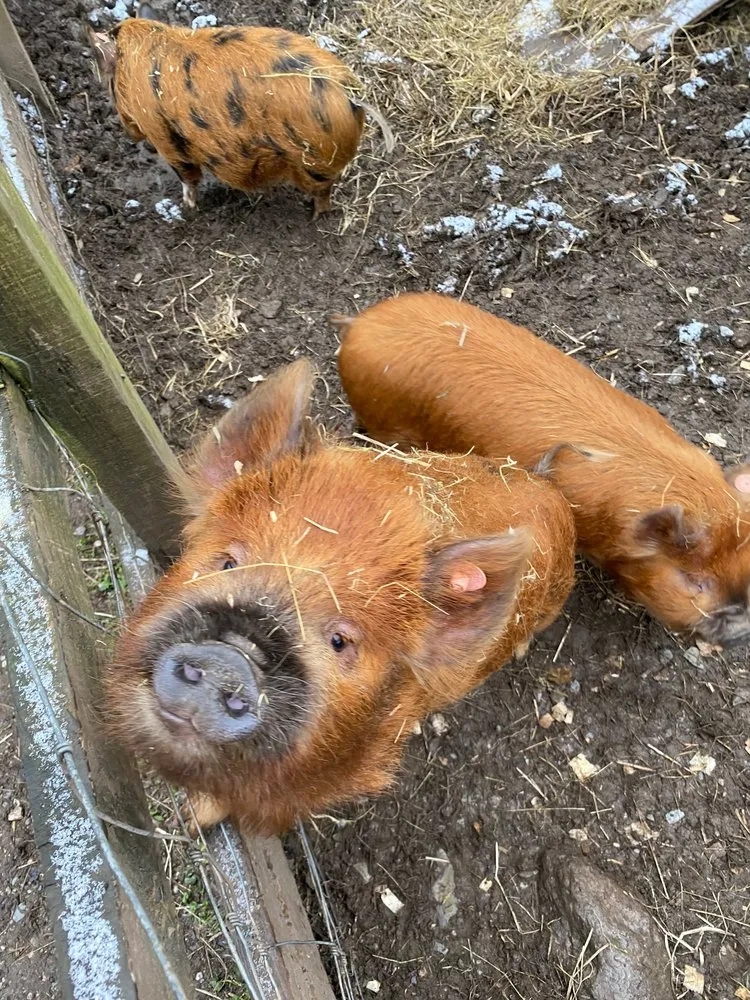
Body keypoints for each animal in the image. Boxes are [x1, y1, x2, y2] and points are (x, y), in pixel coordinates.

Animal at [86, 5, 393, 216]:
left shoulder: (165, 138)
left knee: (323, 192)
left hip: (314, 163)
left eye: (109, 85)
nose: (129, 135)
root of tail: (352, 96)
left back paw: (315, 216)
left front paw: (187, 209)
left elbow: (188, 177)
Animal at [106, 360, 575, 834]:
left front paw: (192, 820)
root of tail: (547, 482)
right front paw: (187, 819)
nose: (231, 655)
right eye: (228, 563)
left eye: (340, 640)